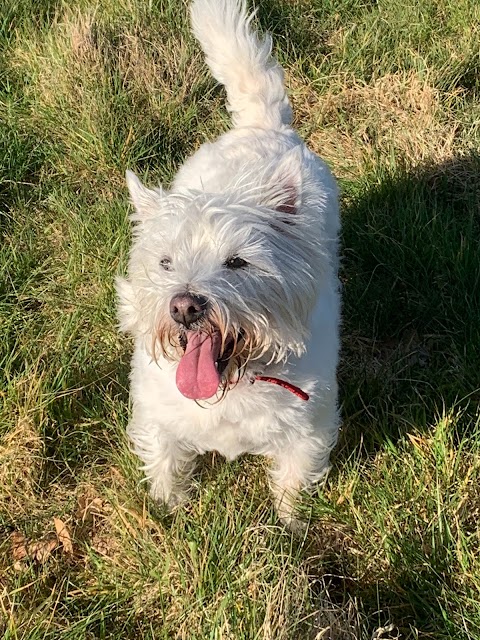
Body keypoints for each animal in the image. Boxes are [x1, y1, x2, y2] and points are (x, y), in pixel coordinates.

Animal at [117, 0, 342, 524]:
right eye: (165, 262)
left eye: (238, 263)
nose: (184, 306)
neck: (229, 385)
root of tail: (264, 127)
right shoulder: (156, 416)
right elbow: (164, 462)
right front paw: (170, 512)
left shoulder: (309, 428)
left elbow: (294, 481)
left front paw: (289, 526)